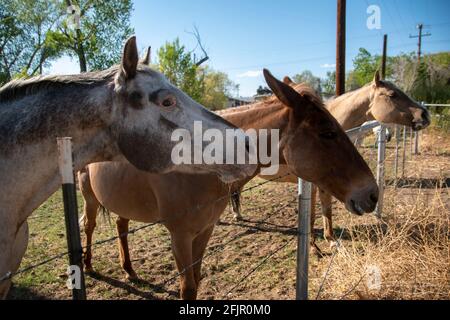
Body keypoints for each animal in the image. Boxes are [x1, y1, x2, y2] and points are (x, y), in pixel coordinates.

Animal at [79, 70, 378, 300]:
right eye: (327, 132)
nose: (372, 193)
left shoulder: (205, 230)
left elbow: (197, 279)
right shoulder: (180, 236)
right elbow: (188, 288)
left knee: (121, 226)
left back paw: (129, 269)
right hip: (88, 197)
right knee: (89, 226)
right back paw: (88, 265)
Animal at [230, 71, 430, 254]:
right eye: (392, 94)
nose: (425, 114)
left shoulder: (325, 183)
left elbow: (327, 209)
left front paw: (331, 240)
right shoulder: (312, 183)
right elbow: (312, 215)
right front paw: (313, 246)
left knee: (235, 189)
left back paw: (237, 214)